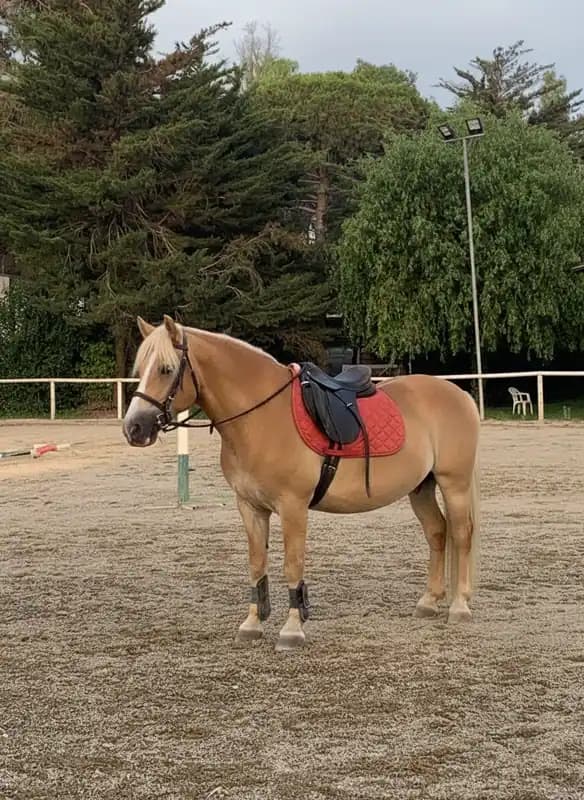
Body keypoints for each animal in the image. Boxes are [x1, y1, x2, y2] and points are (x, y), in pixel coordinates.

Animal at [123, 315, 480, 652]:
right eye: (141, 369)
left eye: (167, 369)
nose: (134, 428)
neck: (262, 418)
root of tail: (459, 393)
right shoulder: (250, 507)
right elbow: (257, 565)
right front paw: (251, 625)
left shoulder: (293, 506)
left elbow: (292, 566)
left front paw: (292, 630)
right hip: (421, 488)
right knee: (437, 532)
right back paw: (429, 601)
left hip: (455, 484)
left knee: (461, 535)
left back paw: (460, 607)